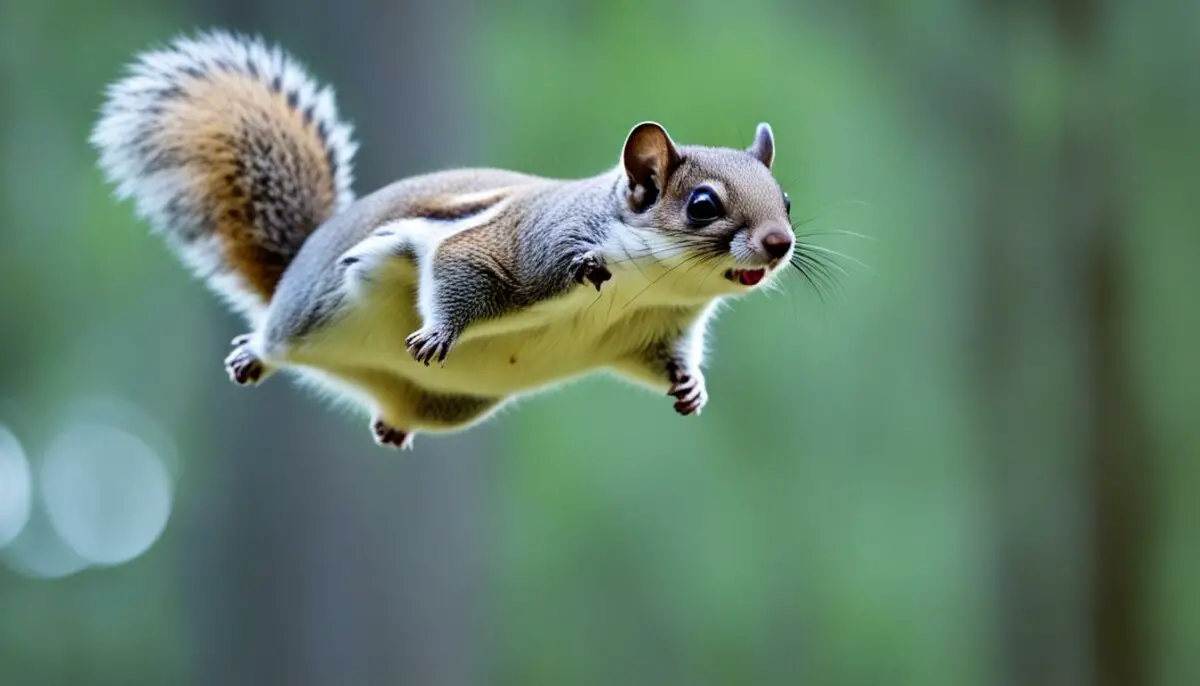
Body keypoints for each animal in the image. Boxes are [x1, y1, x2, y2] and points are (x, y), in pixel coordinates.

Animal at [91, 31, 801, 451]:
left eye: (787, 200)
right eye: (702, 205)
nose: (779, 243)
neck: (648, 281)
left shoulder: (654, 328)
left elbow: (663, 359)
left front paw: (690, 385)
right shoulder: (525, 246)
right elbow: (464, 264)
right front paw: (441, 332)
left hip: (448, 405)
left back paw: (389, 425)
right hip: (312, 309)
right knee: (277, 335)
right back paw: (255, 353)